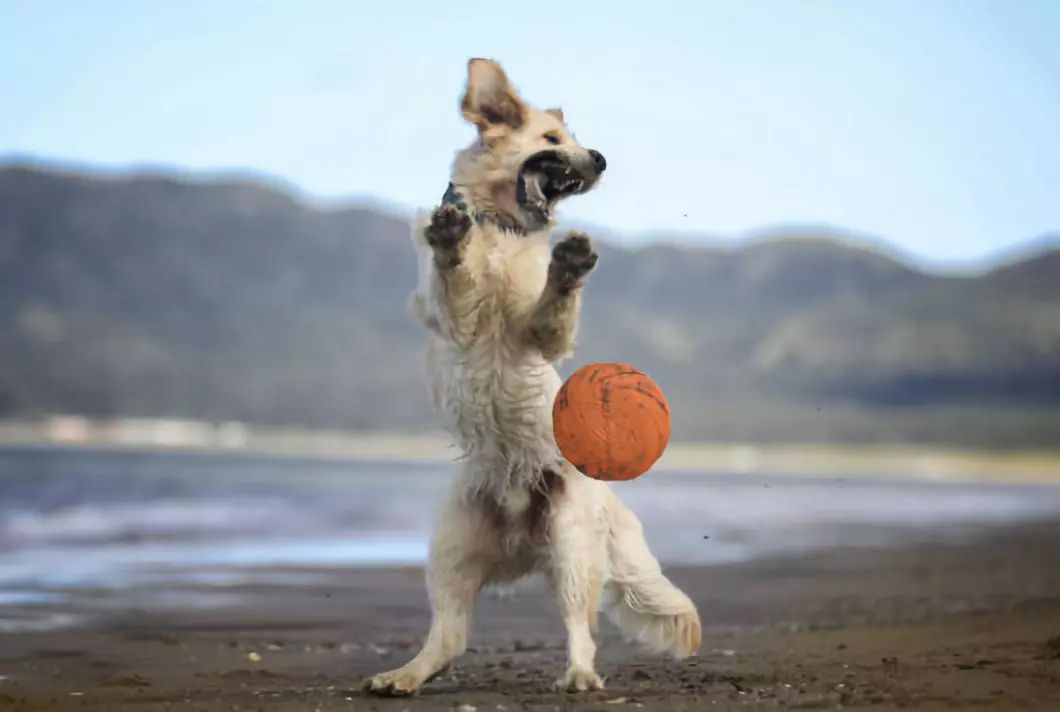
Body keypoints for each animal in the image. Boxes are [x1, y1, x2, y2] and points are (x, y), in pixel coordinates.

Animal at [360, 56, 699, 695]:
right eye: (552, 140)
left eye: (575, 139)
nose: (601, 158)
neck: (502, 229)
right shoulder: (454, 320)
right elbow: (454, 278)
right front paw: (451, 238)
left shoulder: (537, 337)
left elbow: (552, 307)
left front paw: (569, 265)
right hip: (451, 547)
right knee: (448, 637)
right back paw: (403, 675)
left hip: (570, 545)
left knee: (580, 628)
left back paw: (580, 675)